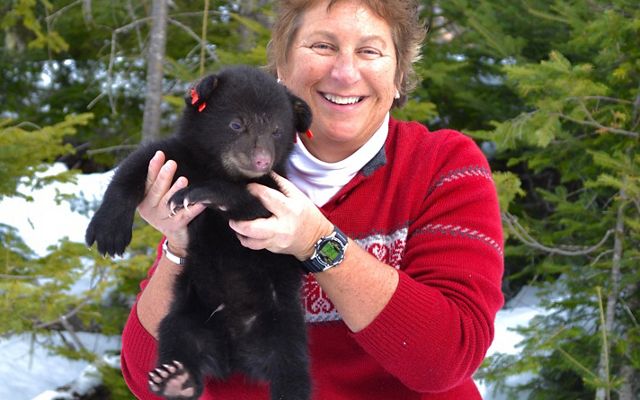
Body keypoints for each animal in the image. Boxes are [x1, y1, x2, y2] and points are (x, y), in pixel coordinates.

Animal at [85, 65, 312, 400]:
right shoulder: (175, 156)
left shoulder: (278, 193)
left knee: (292, 366)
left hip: (284, 323)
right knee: (177, 339)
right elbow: (134, 167)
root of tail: (233, 354)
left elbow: (255, 205)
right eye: (236, 124)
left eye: (276, 130)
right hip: (187, 314)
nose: (261, 160)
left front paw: (203, 192)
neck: (218, 169)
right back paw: (176, 379)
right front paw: (107, 232)